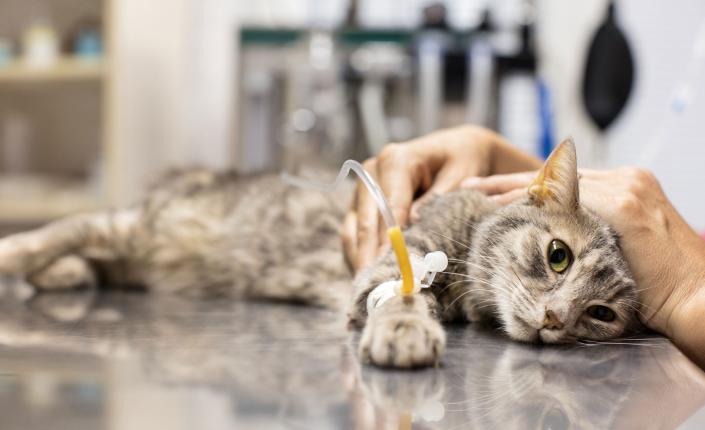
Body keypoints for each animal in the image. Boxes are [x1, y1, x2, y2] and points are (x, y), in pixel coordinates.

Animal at [0, 139, 640, 368]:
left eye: (600, 314)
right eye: (558, 256)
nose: (555, 319)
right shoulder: (397, 258)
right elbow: (404, 297)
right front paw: (406, 331)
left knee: (96, 254)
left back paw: (67, 273)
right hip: (139, 225)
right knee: (66, 230)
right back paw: (25, 256)